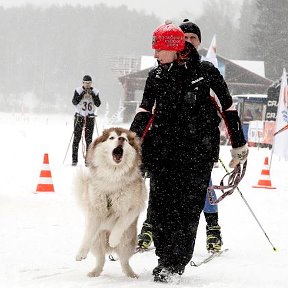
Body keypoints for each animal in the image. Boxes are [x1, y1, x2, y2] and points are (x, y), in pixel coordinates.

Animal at [73, 127, 146, 278]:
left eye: (126, 139)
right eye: (112, 138)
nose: (121, 139)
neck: (112, 177)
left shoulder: (133, 207)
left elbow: (120, 223)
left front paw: (113, 239)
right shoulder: (94, 209)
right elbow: (88, 234)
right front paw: (81, 253)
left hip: (127, 241)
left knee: (124, 261)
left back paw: (131, 274)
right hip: (98, 240)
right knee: (100, 259)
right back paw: (95, 272)